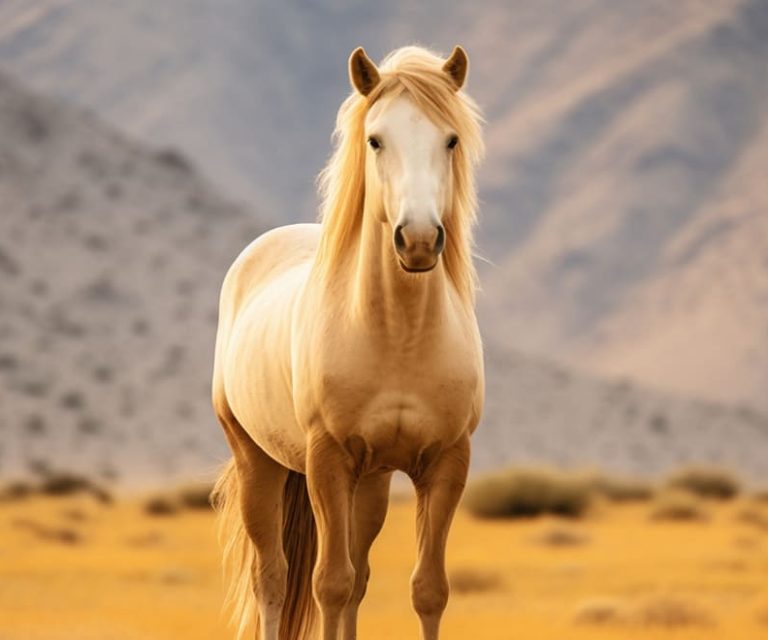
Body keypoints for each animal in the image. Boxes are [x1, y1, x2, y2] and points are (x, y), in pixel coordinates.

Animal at [211, 44, 485, 640]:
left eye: (450, 139)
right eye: (375, 139)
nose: (418, 240)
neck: (399, 337)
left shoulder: (448, 462)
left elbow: (426, 589)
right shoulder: (328, 460)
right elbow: (328, 583)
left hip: (372, 482)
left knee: (357, 577)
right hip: (258, 461)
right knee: (275, 577)